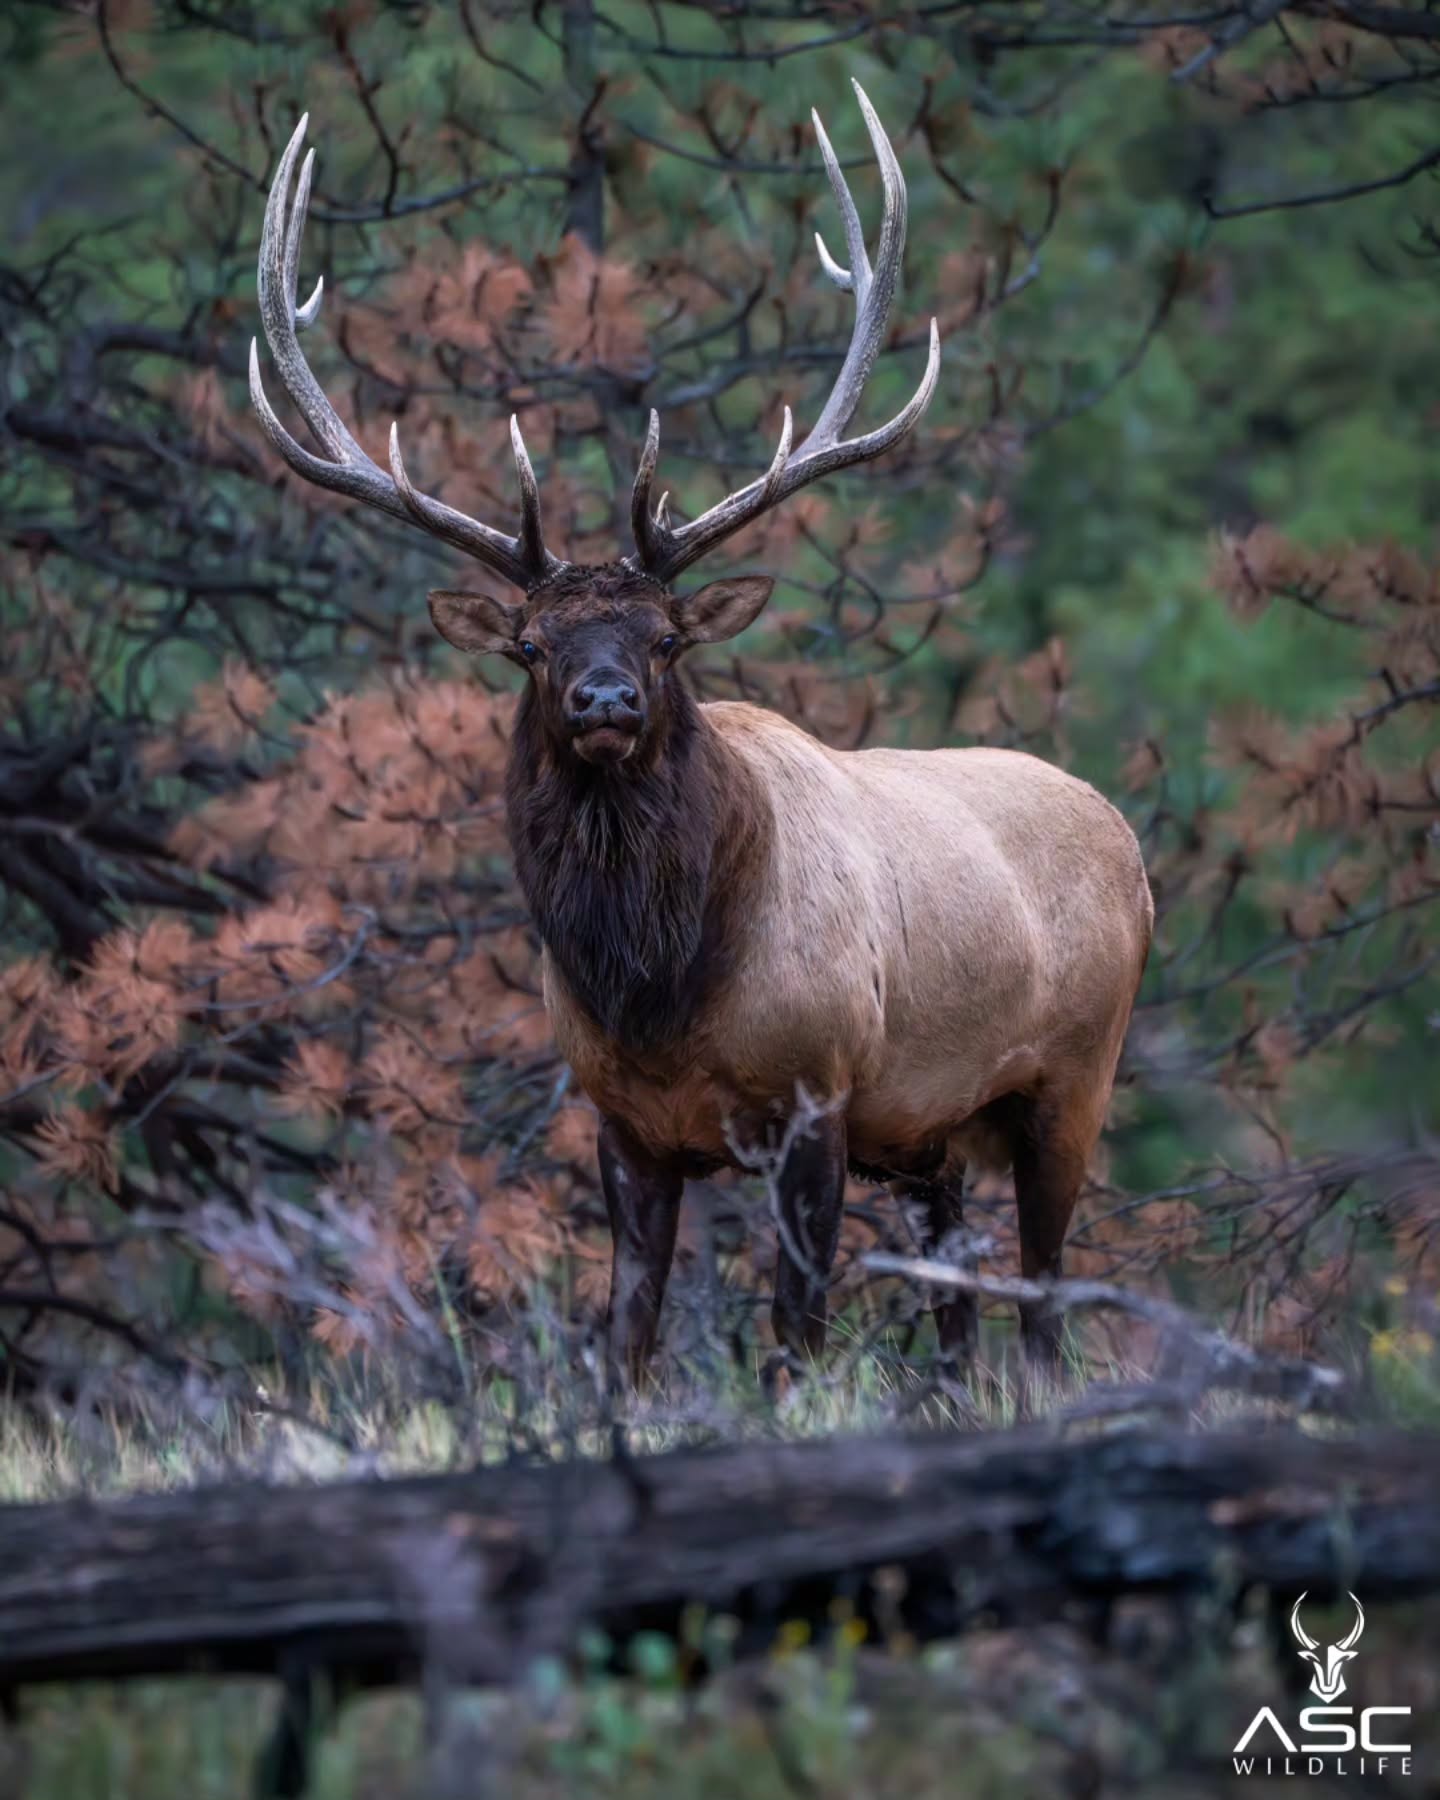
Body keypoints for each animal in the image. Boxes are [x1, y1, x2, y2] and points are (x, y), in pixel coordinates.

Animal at [251, 87, 1153, 1381]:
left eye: (668, 638)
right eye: (532, 646)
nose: (606, 703)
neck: (662, 988)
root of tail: (1129, 842)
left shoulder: (822, 1098)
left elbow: (796, 1336)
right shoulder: (621, 1123)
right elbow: (623, 1343)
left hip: (1072, 1080)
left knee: (1042, 1307)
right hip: (934, 1137)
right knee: (958, 1311)